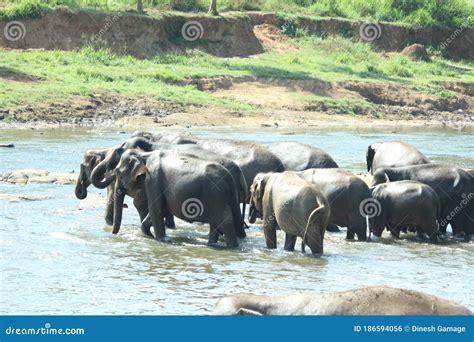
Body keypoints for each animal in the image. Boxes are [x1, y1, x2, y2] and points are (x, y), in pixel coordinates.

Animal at [113, 148, 243, 247]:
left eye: (117, 172)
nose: (114, 234)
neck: (144, 154)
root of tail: (229, 178)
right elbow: (160, 210)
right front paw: (148, 235)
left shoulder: (153, 180)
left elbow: (156, 211)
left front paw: (161, 240)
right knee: (217, 223)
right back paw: (212, 245)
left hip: (216, 195)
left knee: (225, 223)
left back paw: (231, 247)